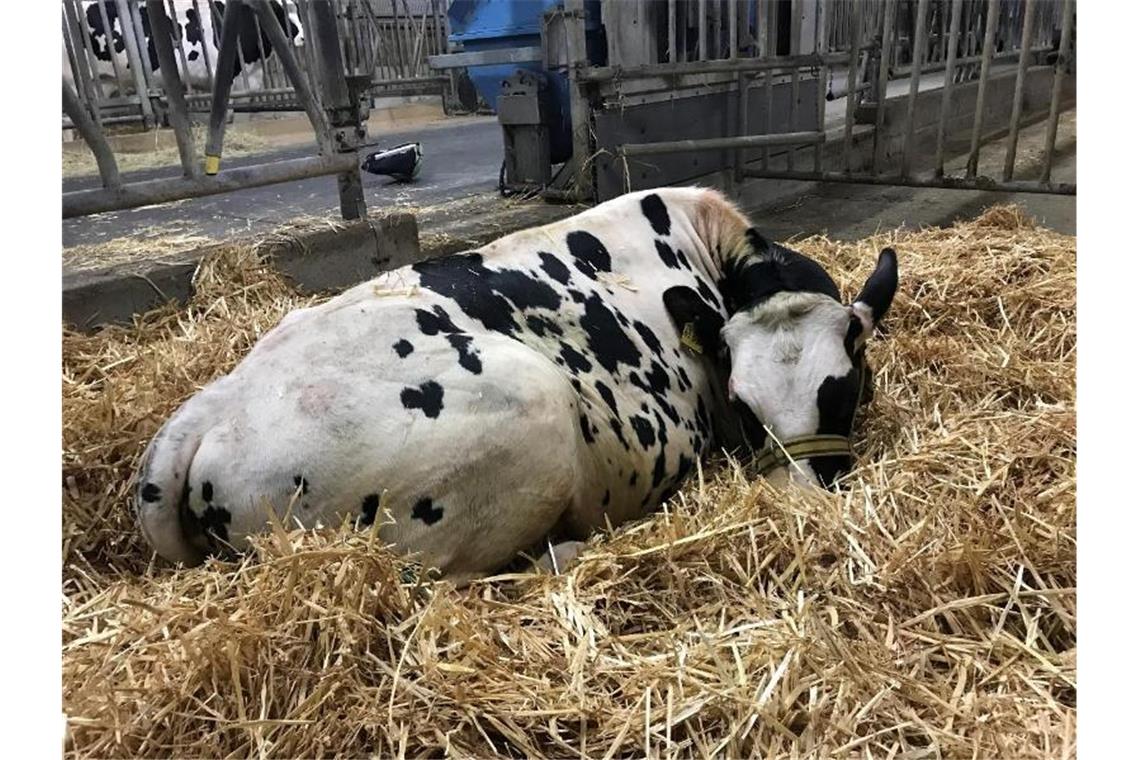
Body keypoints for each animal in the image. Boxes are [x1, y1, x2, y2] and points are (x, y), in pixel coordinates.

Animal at [135, 185, 898, 583]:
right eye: (743, 406)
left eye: (843, 388)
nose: (801, 508)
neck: (714, 253)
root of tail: (210, 407)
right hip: (529, 415)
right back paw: (569, 551)